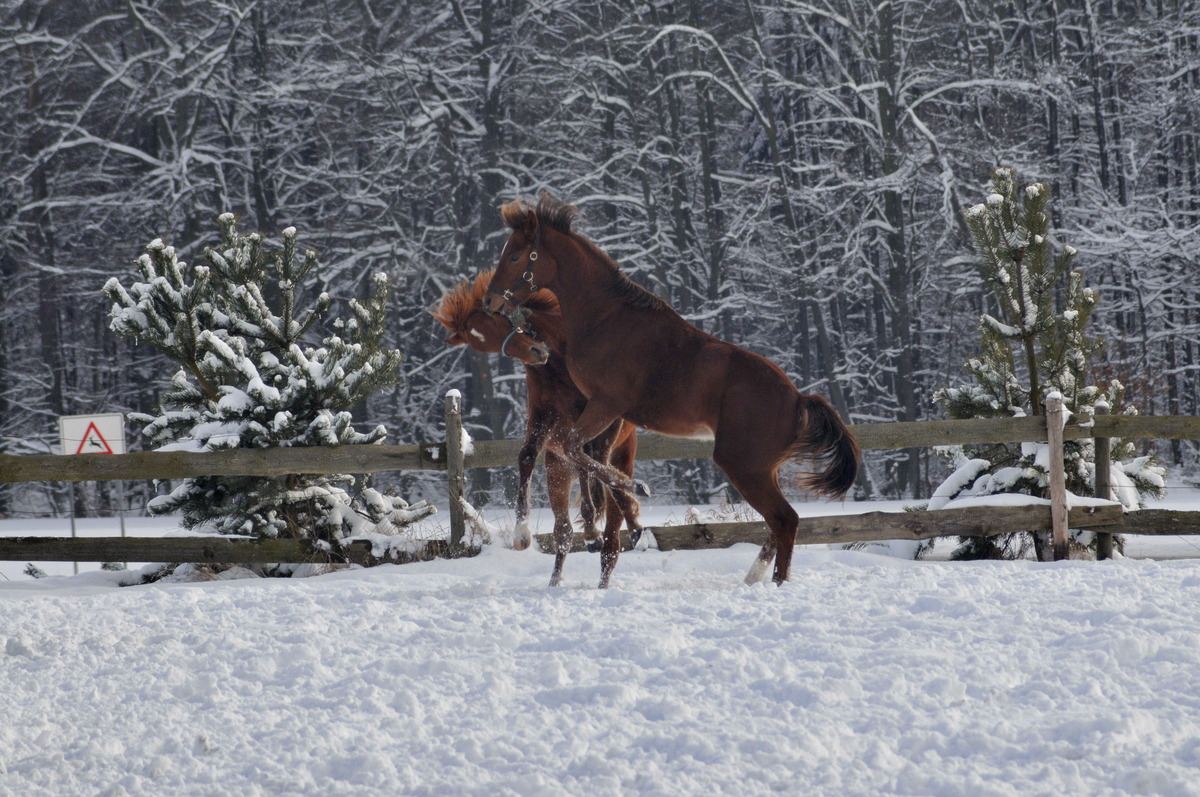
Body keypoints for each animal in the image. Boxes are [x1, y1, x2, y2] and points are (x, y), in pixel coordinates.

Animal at [433, 271, 643, 587]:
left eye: (497, 318)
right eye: (484, 344)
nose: (537, 352)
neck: (557, 366)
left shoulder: (598, 424)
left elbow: (591, 466)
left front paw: (594, 526)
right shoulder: (543, 420)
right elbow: (527, 456)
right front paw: (522, 533)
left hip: (622, 453)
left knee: (611, 537)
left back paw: (622, 530)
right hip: (556, 469)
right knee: (564, 531)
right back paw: (556, 580)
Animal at [483, 194, 860, 586]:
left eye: (515, 256)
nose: (490, 302)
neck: (605, 318)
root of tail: (799, 399)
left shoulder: (607, 404)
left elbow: (574, 448)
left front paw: (634, 493)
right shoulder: (602, 413)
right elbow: (579, 454)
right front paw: (619, 512)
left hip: (743, 466)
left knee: (786, 520)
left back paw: (775, 584)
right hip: (762, 469)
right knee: (778, 522)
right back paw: (754, 577)